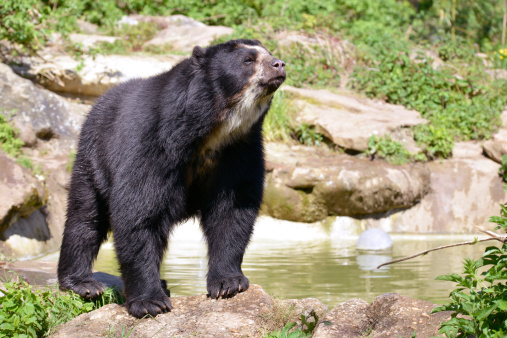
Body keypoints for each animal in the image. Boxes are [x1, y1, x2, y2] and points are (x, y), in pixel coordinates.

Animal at [58, 39, 288, 316]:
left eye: (269, 53)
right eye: (248, 60)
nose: (279, 64)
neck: (213, 128)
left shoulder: (240, 150)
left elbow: (232, 210)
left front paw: (228, 283)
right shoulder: (153, 140)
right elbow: (138, 211)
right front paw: (150, 302)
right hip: (94, 155)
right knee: (86, 216)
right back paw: (82, 283)